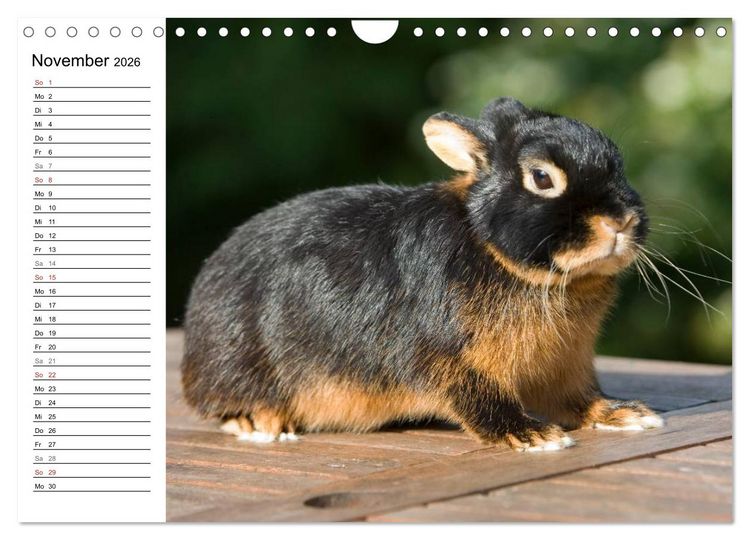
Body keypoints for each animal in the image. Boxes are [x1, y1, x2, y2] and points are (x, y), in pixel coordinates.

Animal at [181, 97, 664, 451]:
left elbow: (579, 400)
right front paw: (532, 436)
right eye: (542, 178)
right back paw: (257, 421)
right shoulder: (448, 359)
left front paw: (623, 413)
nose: (620, 221)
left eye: (618, 162)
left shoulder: (567, 364)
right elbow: (477, 400)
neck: (493, 250)